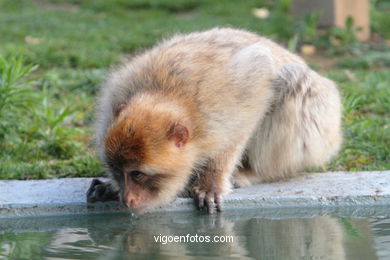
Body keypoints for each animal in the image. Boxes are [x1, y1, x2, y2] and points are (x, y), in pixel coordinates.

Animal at [86, 27, 342, 213]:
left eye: (137, 174)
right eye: (118, 171)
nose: (128, 198)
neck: (167, 96)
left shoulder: (229, 102)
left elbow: (256, 84)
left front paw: (211, 182)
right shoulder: (114, 99)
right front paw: (111, 186)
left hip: (323, 129)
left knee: (294, 79)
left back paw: (254, 173)